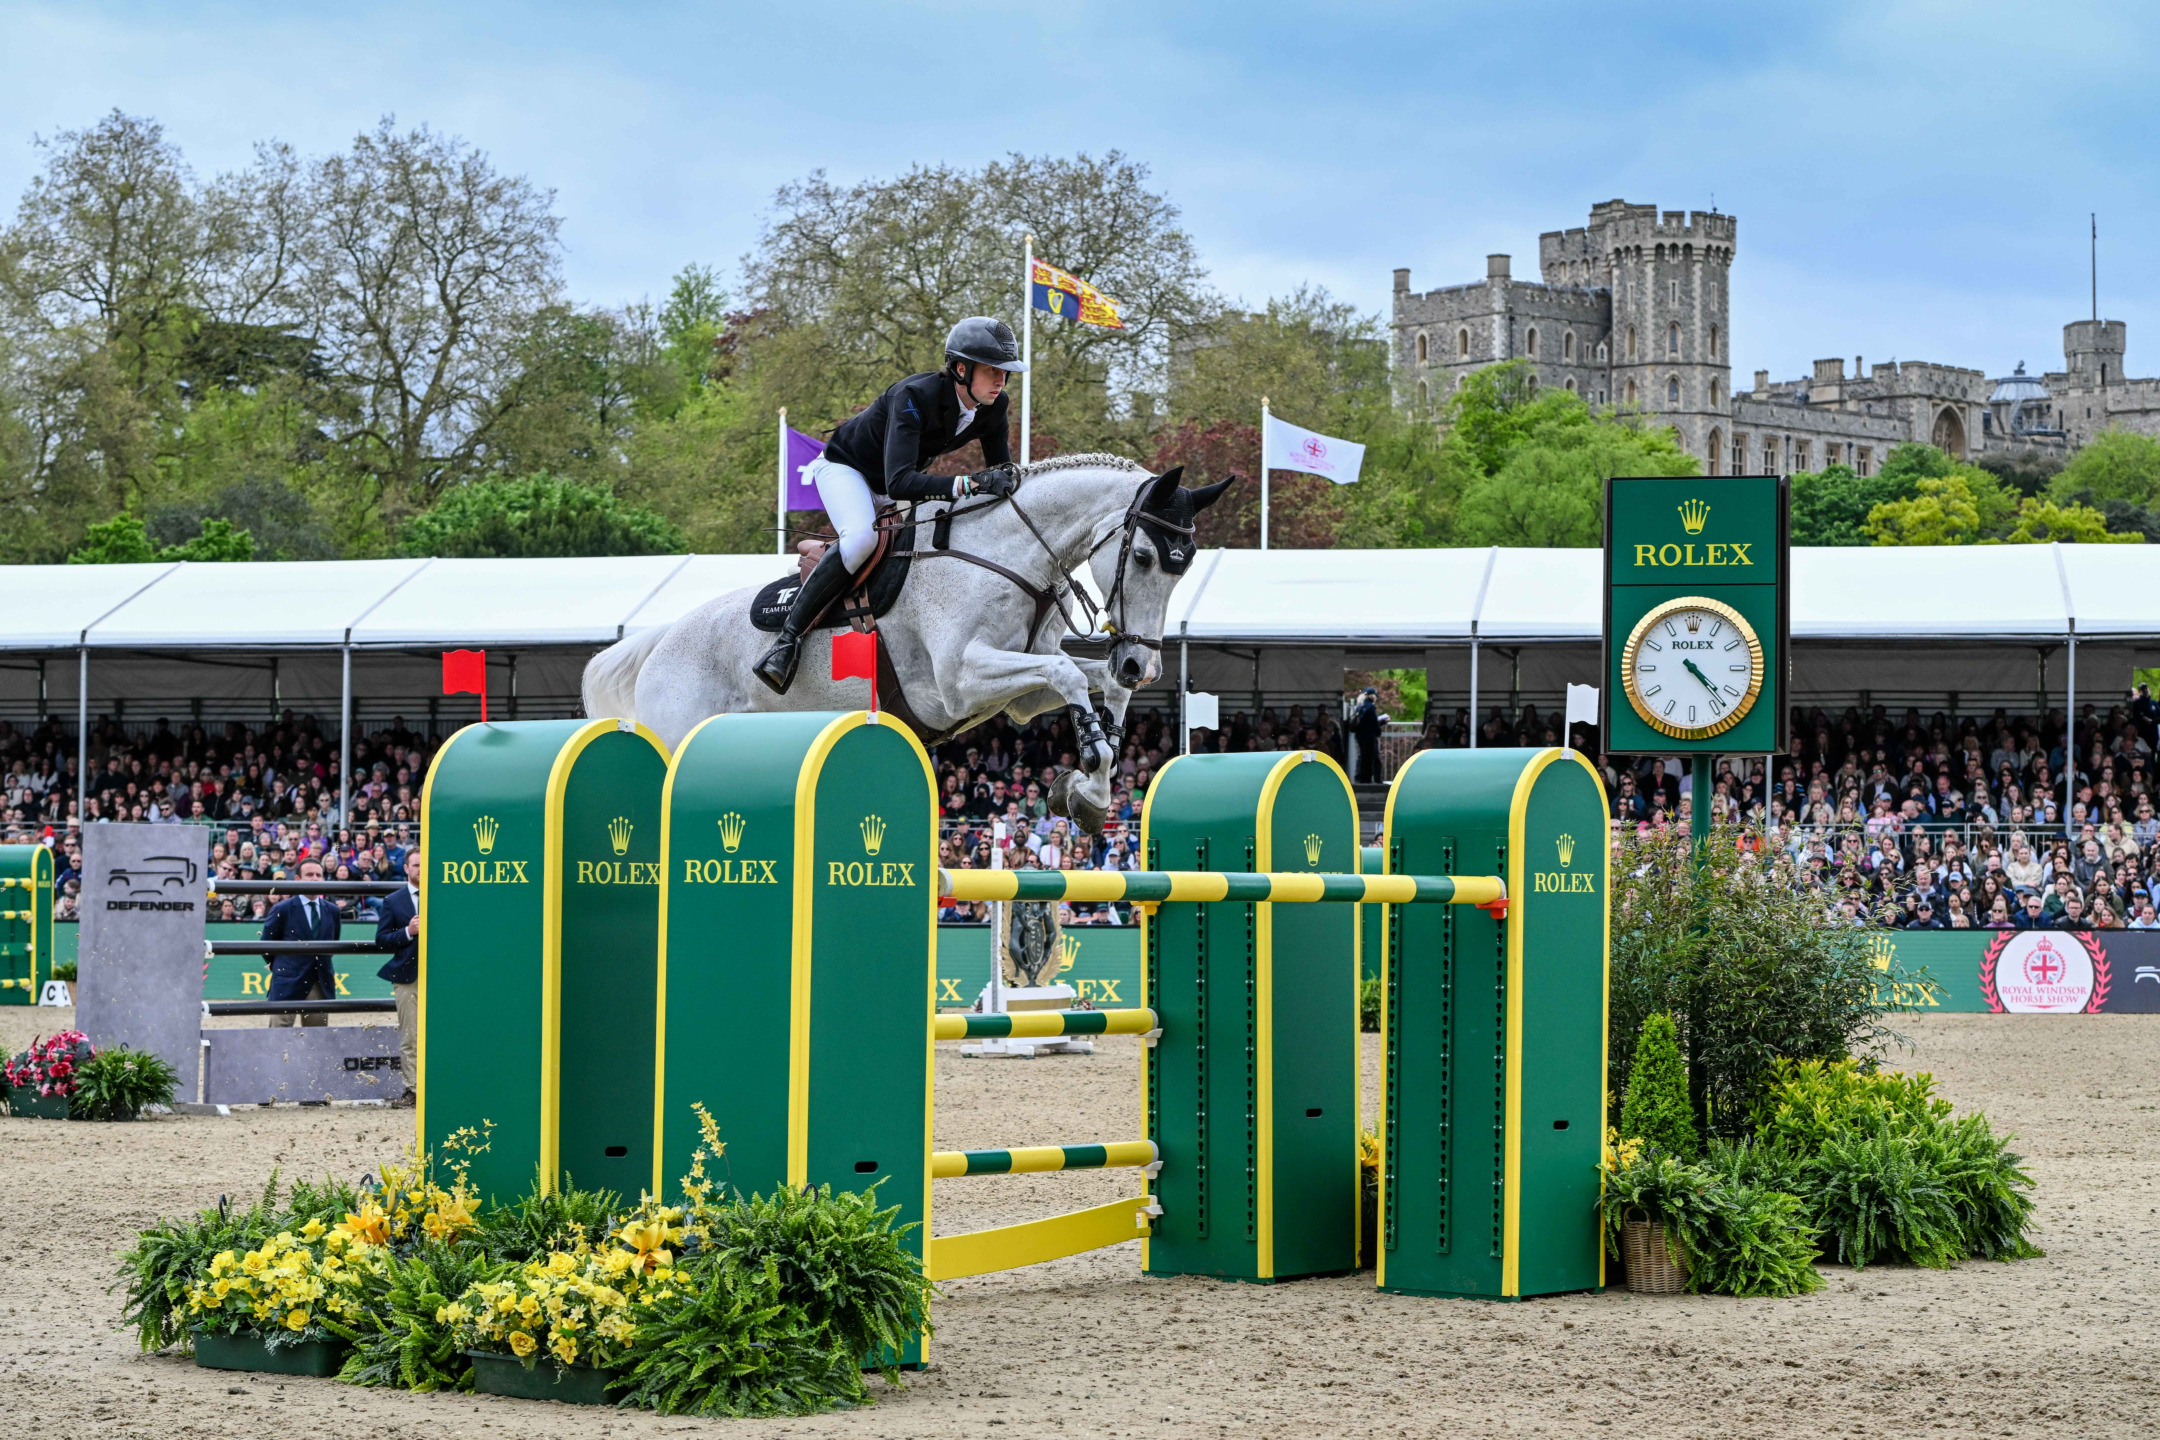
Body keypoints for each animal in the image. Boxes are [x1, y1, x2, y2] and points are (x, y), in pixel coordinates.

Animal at [583, 451, 1235, 833]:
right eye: (1144, 557)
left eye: (1186, 566)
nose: (1139, 664)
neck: (1010, 555)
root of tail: (660, 643)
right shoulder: (959, 682)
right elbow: (1071, 676)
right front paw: (1092, 769)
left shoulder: (1021, 692)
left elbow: (1088, 686)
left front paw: (1090, 792)